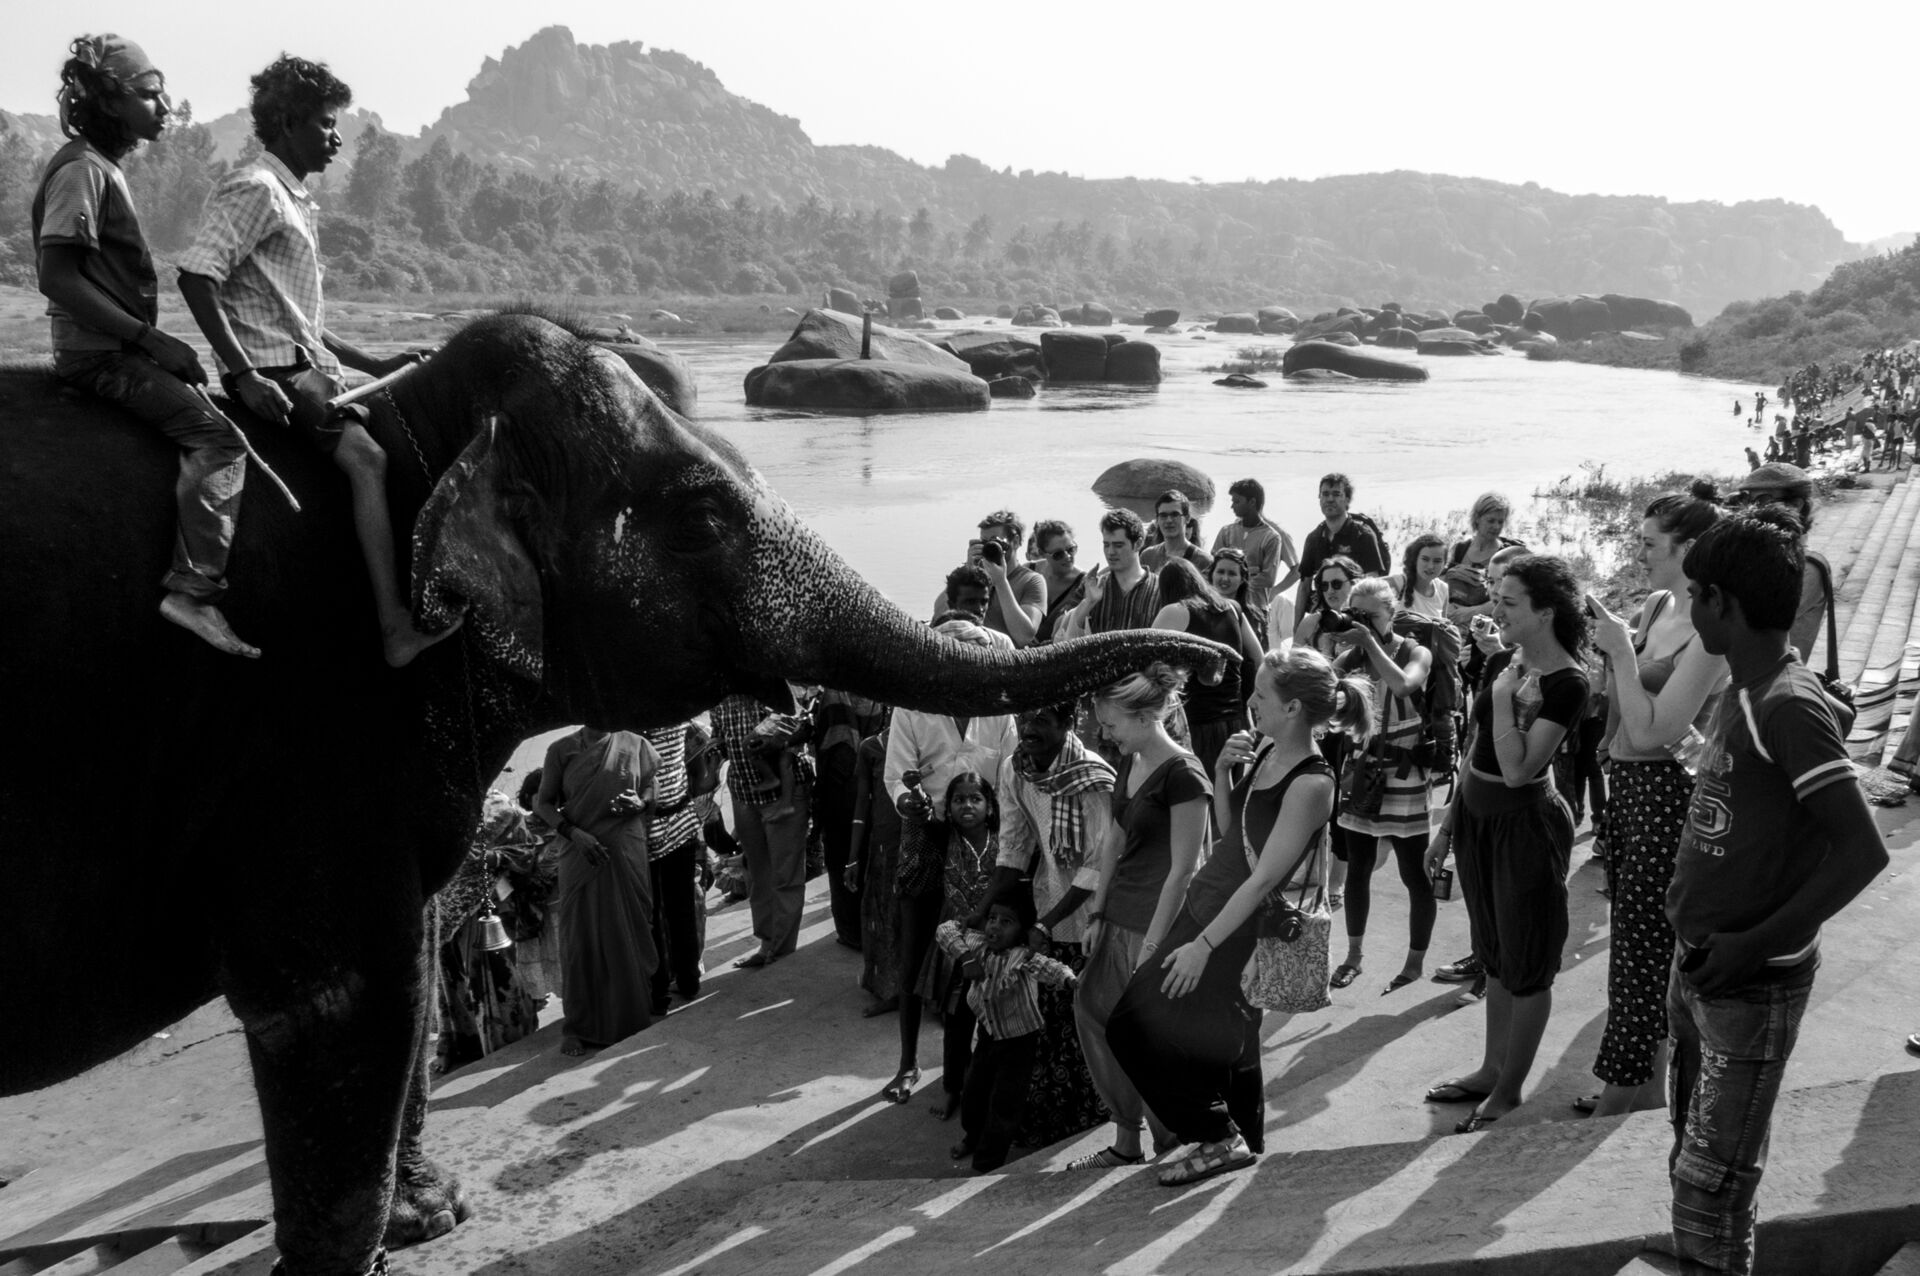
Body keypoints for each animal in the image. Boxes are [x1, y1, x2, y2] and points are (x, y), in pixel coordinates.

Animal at [0, 310, 1231, 1276]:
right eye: (699, 509)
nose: (1212, 661)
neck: (399, 426)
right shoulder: (302, 736)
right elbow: (356, 998)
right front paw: (413, 1226)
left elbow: (382, 990)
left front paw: (423, 1220)